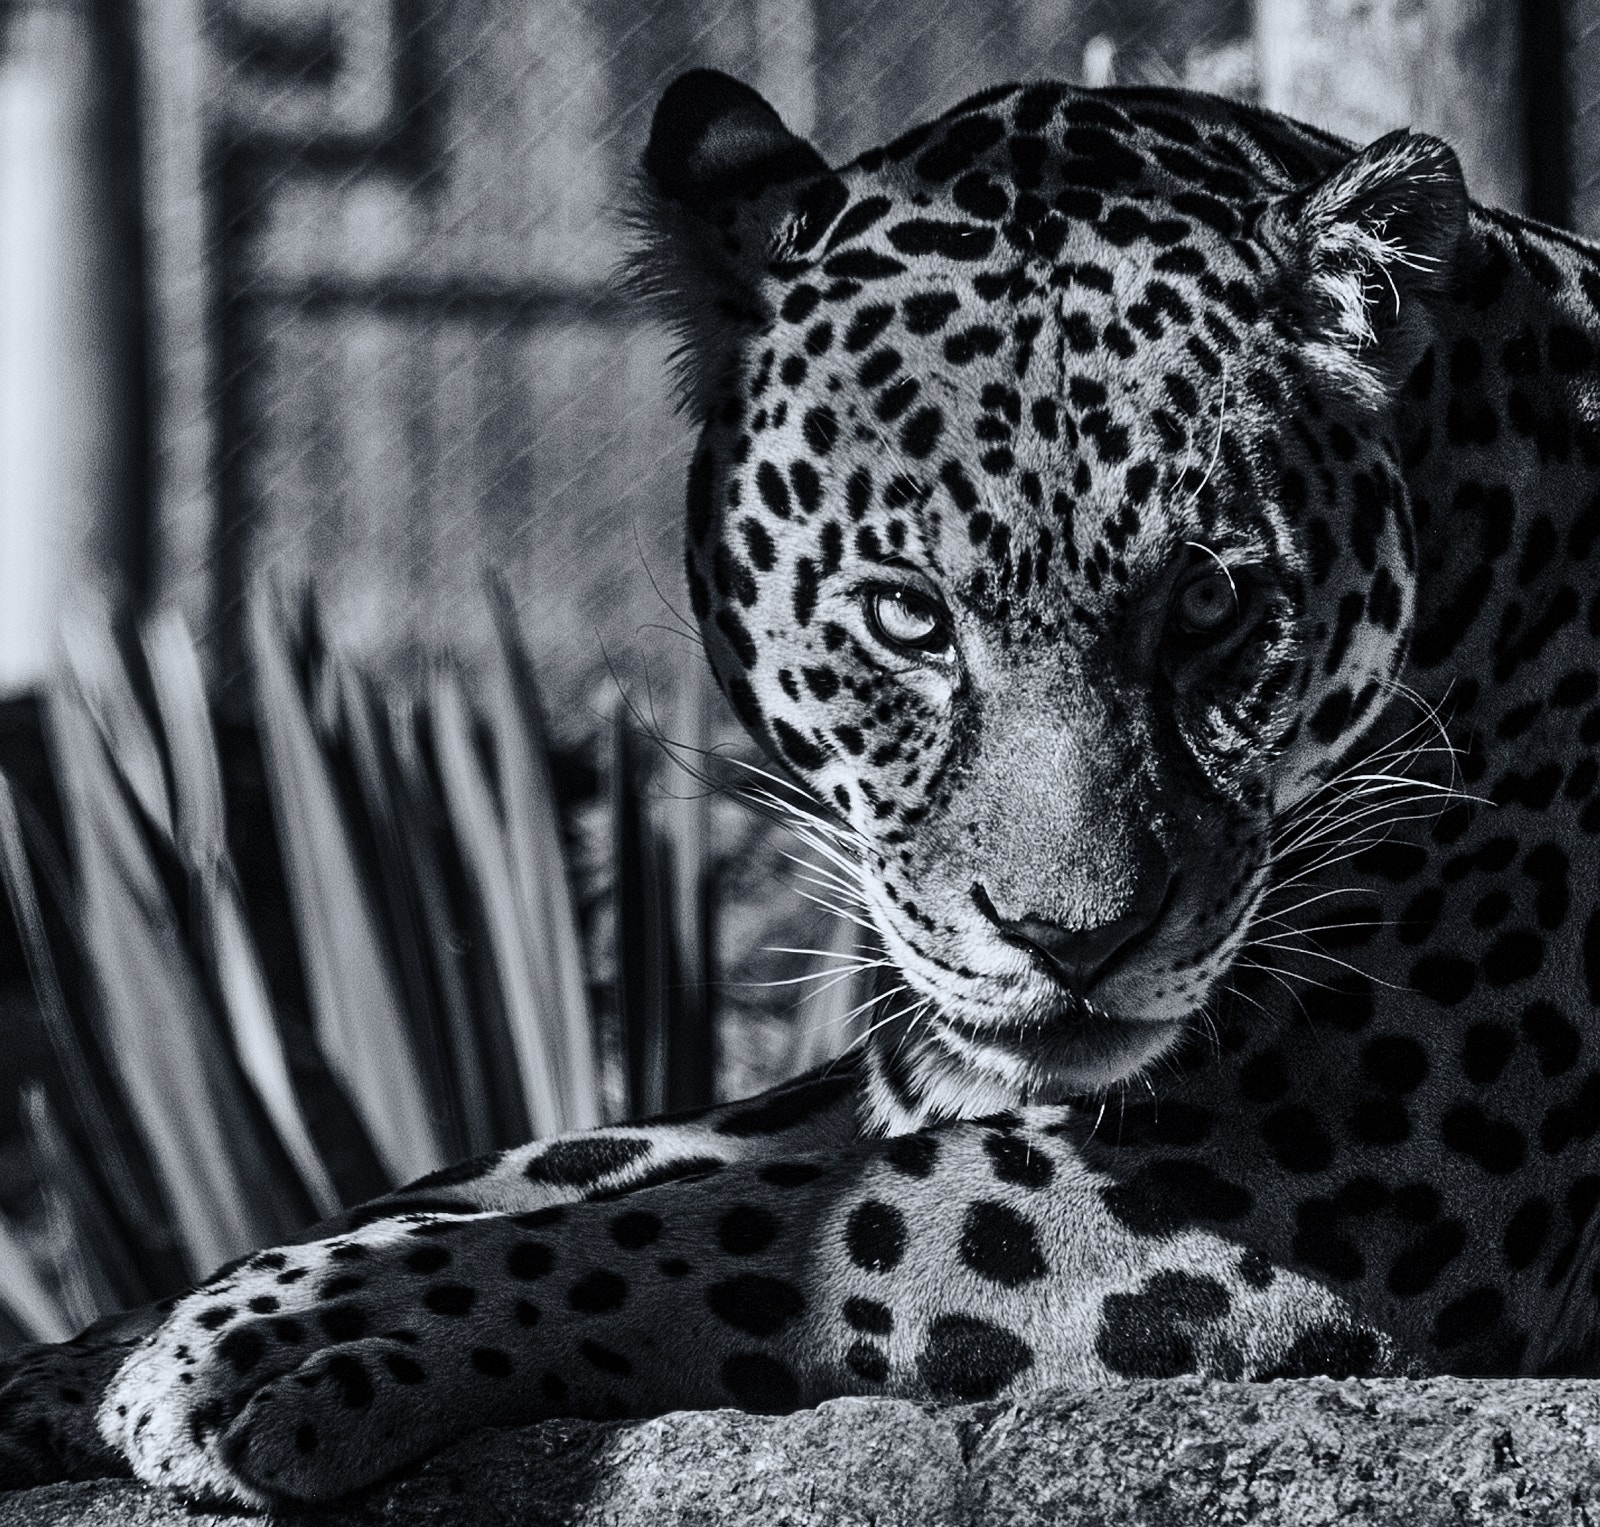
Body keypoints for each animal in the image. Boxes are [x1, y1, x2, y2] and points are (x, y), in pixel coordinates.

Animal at [5, 65, 1600, 1506]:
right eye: (905, 616)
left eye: (1210, 605)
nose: (1076, 944)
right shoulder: (928, 1072)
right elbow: (561, 1158)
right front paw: (98, 1350)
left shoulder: (1348, 1157)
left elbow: (737, 1225)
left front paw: (273, 1344)